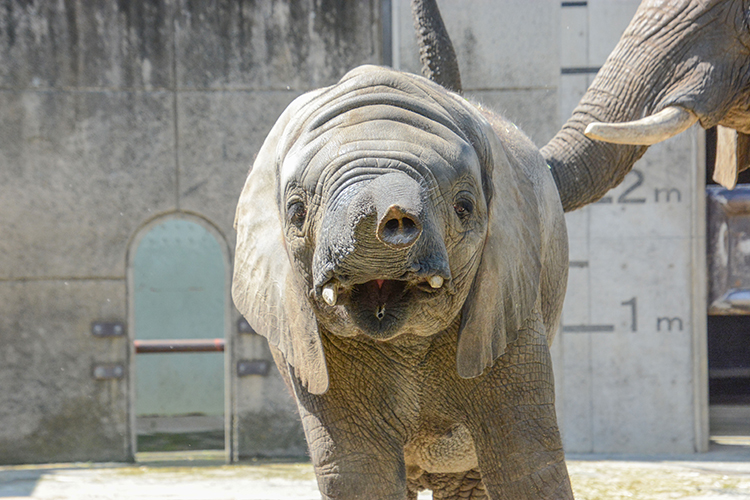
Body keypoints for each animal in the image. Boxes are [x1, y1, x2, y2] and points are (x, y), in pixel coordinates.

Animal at [232, 64, 572, 498]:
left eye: (464, 207)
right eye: (296, 212)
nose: (387, 217)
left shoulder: (508, 299)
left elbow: (526, 460)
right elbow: (362, 472)